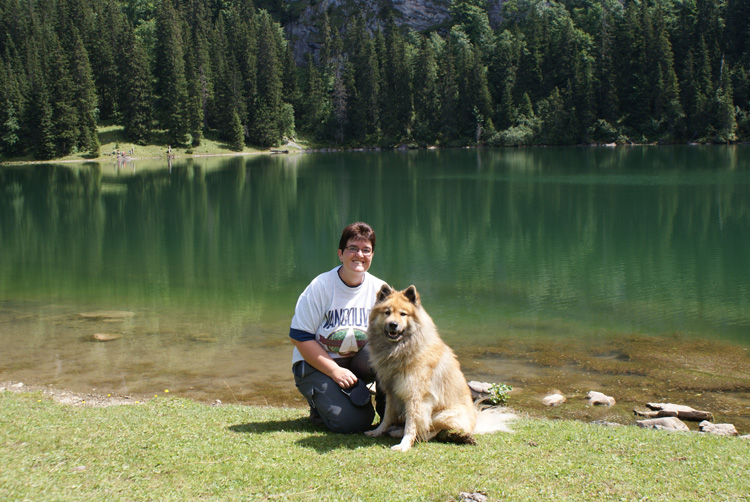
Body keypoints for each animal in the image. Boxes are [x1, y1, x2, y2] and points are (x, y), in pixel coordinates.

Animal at [366, 284, 516, 452]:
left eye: (403, 314)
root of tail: (474, 423)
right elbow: (387, 416)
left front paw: (404, 444)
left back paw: (400, 432)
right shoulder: (392, 392)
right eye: (387, 312)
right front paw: (378, 431)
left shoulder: (415, 396)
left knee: (431, 431)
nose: (393, 324)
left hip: (442, 415)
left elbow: (411, 424)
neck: (400, 349)